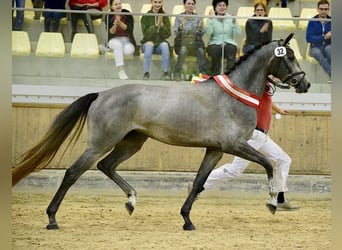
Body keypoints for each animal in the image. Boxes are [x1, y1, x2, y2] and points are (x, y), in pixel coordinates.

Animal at [12, 33, 310, 230]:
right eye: (289, 56)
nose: (304, 84)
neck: (235, 94)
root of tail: (100, 94)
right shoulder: (234, 145)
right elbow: (269, 164)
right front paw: (272, 203)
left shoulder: (214, 150)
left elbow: (199, 182)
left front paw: (187, 220)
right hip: (102, 142)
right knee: (74, 172)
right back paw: (52, 218)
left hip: (132, 142)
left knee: (106, 166)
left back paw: (131, 201)